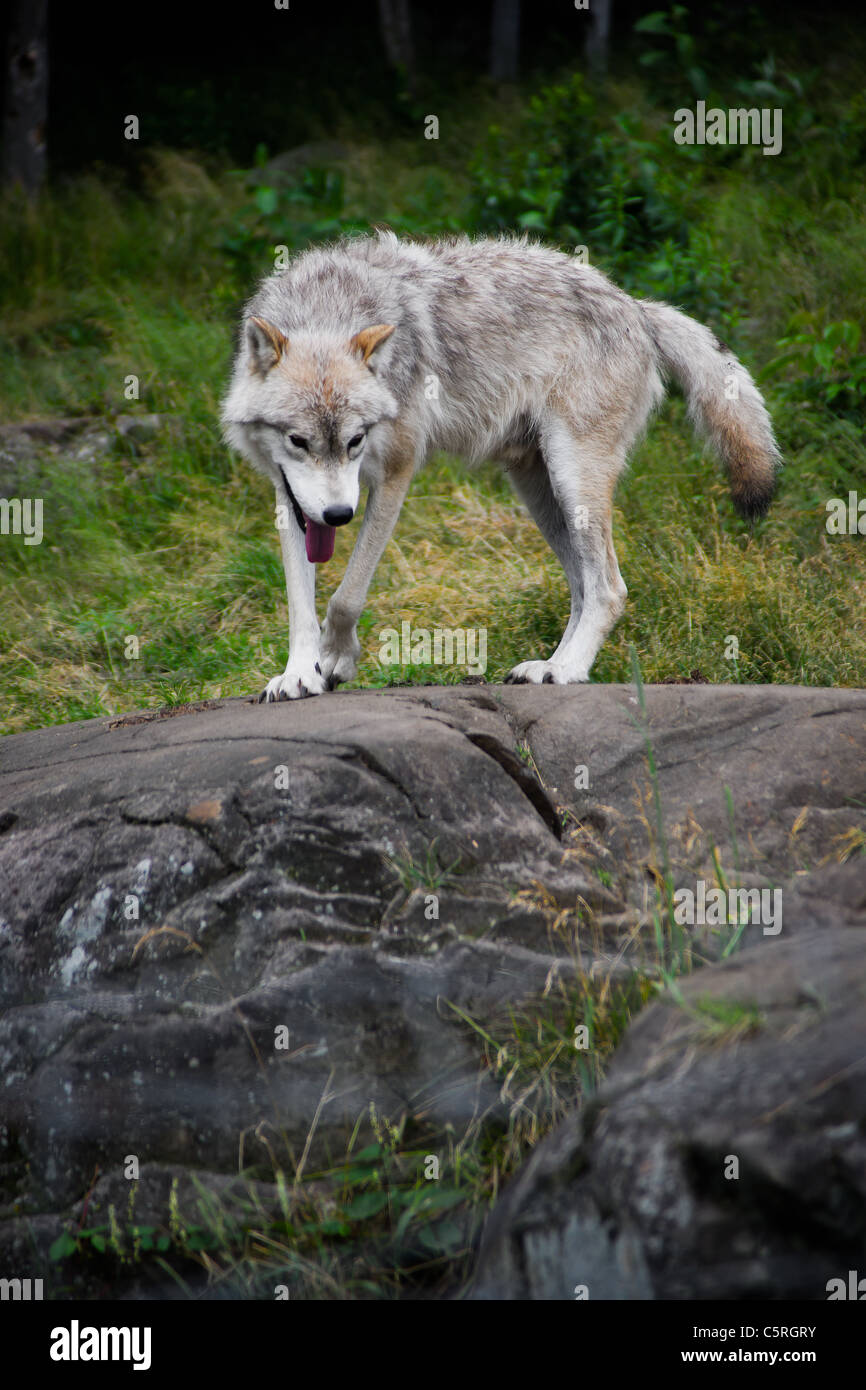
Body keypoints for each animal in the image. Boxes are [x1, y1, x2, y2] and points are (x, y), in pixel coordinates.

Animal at [222, 234, 778, 706]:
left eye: (356, 441)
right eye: (298, 441)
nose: (338, 515)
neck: (327, 308)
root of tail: (637, 307)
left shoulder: (397, 472)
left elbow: (346, 596)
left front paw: (336, 659)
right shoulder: (289, 497)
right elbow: (300, 602)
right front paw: (300, 673)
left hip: (573, 479)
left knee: (609, 588)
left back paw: (566, 670)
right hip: (540, 492)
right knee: (582, 587)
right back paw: (550, 665)